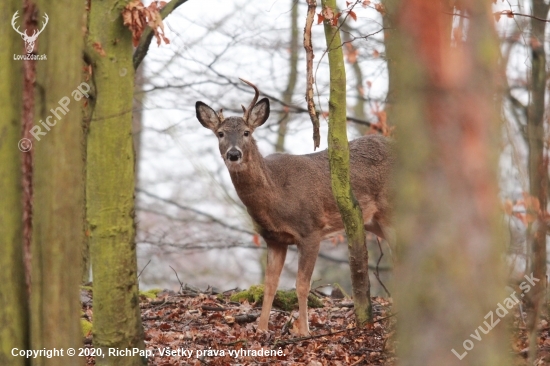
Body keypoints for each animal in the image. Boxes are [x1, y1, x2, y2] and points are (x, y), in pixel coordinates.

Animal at [196, 78, 394, 336]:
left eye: (246, 132)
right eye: (220, 134)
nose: (234, 154)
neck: (277, 195)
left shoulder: (310, 230)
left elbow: (302, 284)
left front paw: (304, 331)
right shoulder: (274, 239)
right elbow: (270, 284)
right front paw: (262, 329)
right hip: (374, 221)